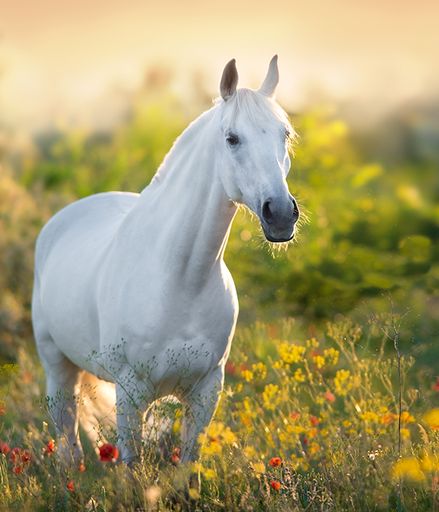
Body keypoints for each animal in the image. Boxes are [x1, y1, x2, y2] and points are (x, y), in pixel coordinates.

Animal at [31, 57, 300, 468]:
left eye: (284, 134)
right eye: (232, 138)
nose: (281, 214)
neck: (181, 280)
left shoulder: (206, 391)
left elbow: (188, 466)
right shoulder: (130, 392)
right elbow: (130, 467)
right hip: (58, 370)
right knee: (69, 445)